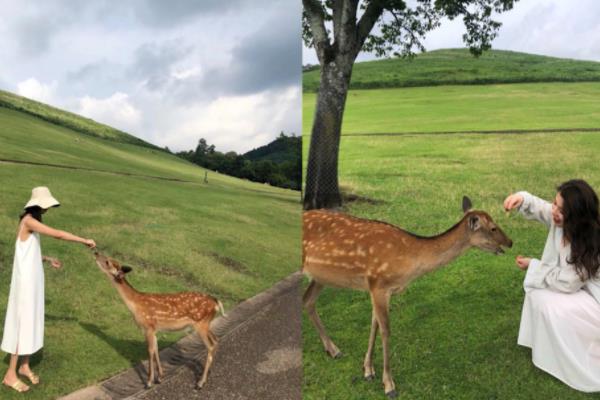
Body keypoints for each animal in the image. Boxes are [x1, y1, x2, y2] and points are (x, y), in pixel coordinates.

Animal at [94, 252, 225, 390]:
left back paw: (200, 383)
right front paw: (160, 377)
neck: (135, 305)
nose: (96, 253)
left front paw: (149, 382)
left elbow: (150, 351)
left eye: (108, 261)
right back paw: (208, 374)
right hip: (206, 323)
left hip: (200, 323)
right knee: (216, 340)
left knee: (210, 345)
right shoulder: (154, 328)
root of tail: (216, 302)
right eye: (108, 258)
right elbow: (156, 348)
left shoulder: (148, 326)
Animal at [302, 196, 512, 396]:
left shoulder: (376, 289)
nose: (510, 242)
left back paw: (333, 350)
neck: (408, 262)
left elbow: (374, 325)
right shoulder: (379, 284)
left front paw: (368, 370)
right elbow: (386, 330)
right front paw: (389, 385)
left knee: (308, 300)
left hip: (319, 276)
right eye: (493, 228)